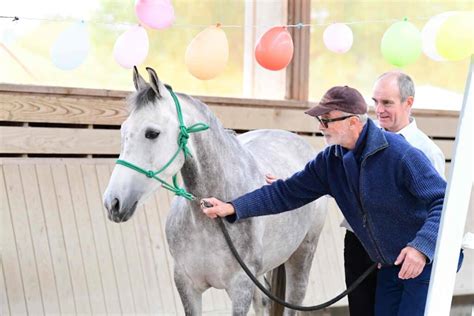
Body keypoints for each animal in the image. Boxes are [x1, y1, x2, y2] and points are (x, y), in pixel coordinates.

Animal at [103, 68, 326, 314]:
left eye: (152, 133)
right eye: (123, 130)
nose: (112, 202)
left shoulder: (240, 287)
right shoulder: (186, 284)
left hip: (302, 255)